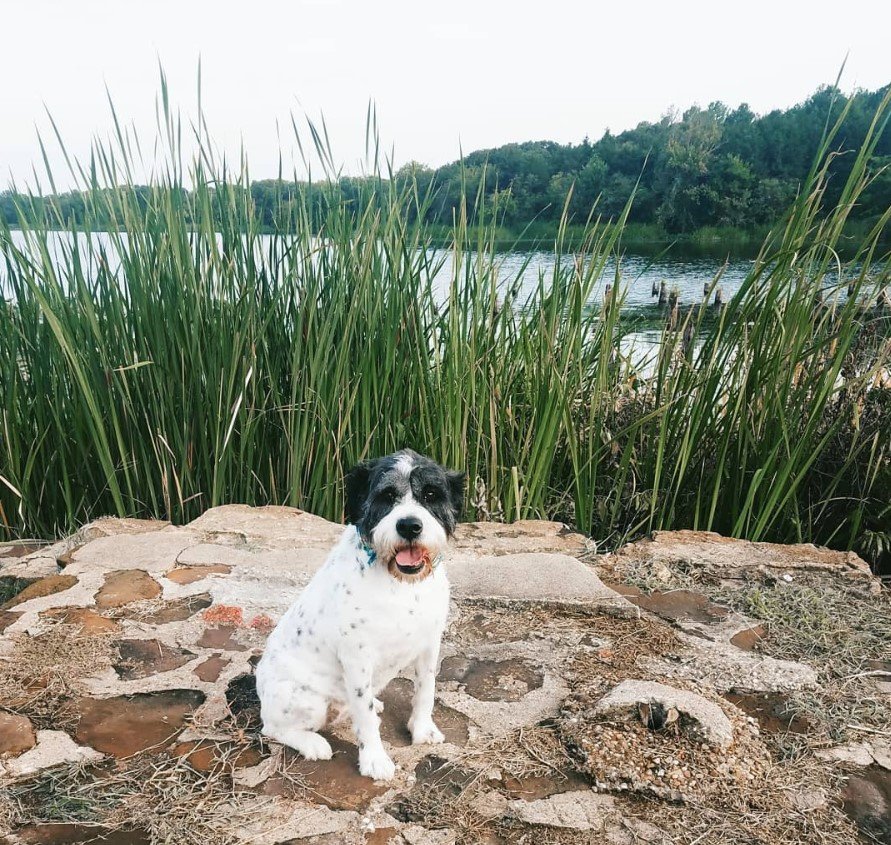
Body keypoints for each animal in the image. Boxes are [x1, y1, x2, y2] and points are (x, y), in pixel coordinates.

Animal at [254, 448, 464, 780]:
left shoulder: (429, 645)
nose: (409, 526)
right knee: (273, 728)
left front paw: (422, 730)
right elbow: (364, 719)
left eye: (431, 494)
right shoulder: (356, 657)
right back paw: (313, 744)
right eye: (386, 495)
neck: (400, 584)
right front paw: (374, 760)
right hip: (306, 700)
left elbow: (426, 690)